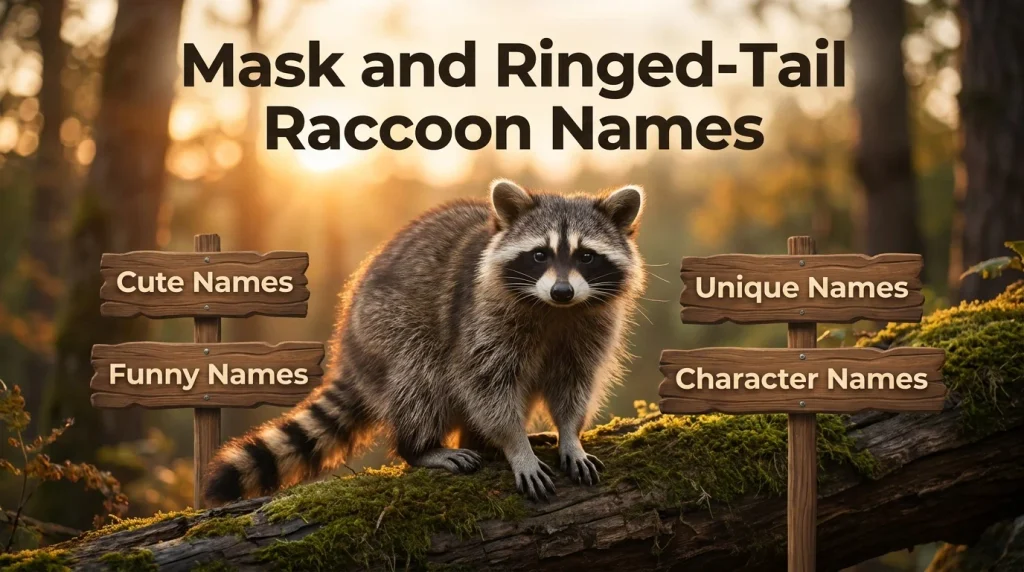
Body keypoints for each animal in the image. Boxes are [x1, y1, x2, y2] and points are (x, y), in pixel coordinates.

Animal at [204, 179, 645, 504]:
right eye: (540, 254)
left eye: (586, 256)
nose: (562, 291)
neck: (553, 311)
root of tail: (349, 346)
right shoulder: (480, 319)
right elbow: (484, 385)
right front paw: (515, 444)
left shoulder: (590, 326)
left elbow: (574, 383)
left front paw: (570, 434)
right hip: (388, 329)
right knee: (421, 376)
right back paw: (421, 447)